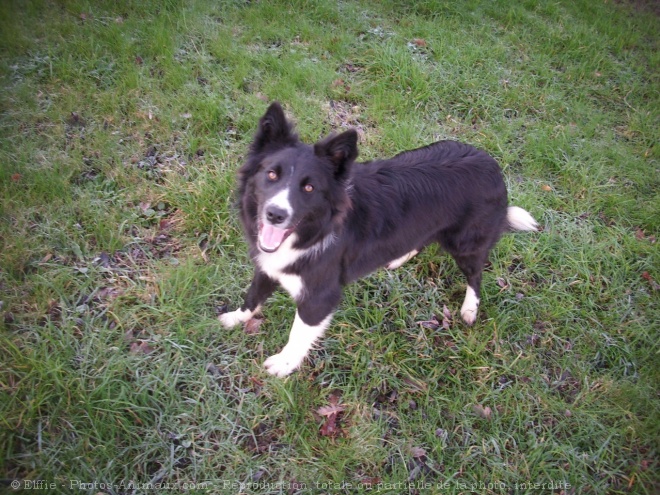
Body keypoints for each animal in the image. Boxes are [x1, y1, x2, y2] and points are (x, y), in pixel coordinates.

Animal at [219, 102, 540, 378]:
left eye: (309, 188)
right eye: (272, 174)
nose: (275, 214)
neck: (313, 231)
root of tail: (493, 166)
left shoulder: (320, 296)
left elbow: (299, 332)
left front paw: (284, 364)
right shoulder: (268, 266)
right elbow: (252, 296)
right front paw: (235, 318)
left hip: (466, 244)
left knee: (475, 274)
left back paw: (470, 309)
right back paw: (399, 257)